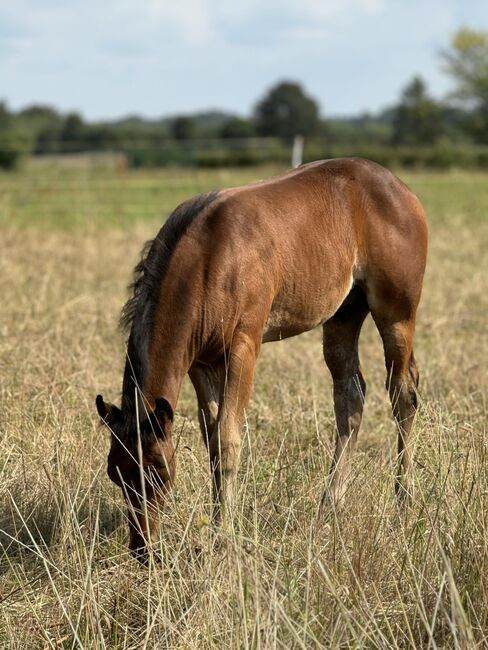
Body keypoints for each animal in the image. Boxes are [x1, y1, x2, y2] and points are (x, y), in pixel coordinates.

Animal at [95, 158, 428, 560]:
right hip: (343, 314)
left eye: (160, 470)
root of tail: (399, 187)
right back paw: (329, 508)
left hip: (396, 313)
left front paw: (222, 537)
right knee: (351, 397)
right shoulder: (200, 362)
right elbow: (212, 440)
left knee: (402, 394)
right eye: (115, 472)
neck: (209, 256)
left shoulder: (245, 346)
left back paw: (404, 503)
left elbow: (228, 439)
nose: (142, 550)